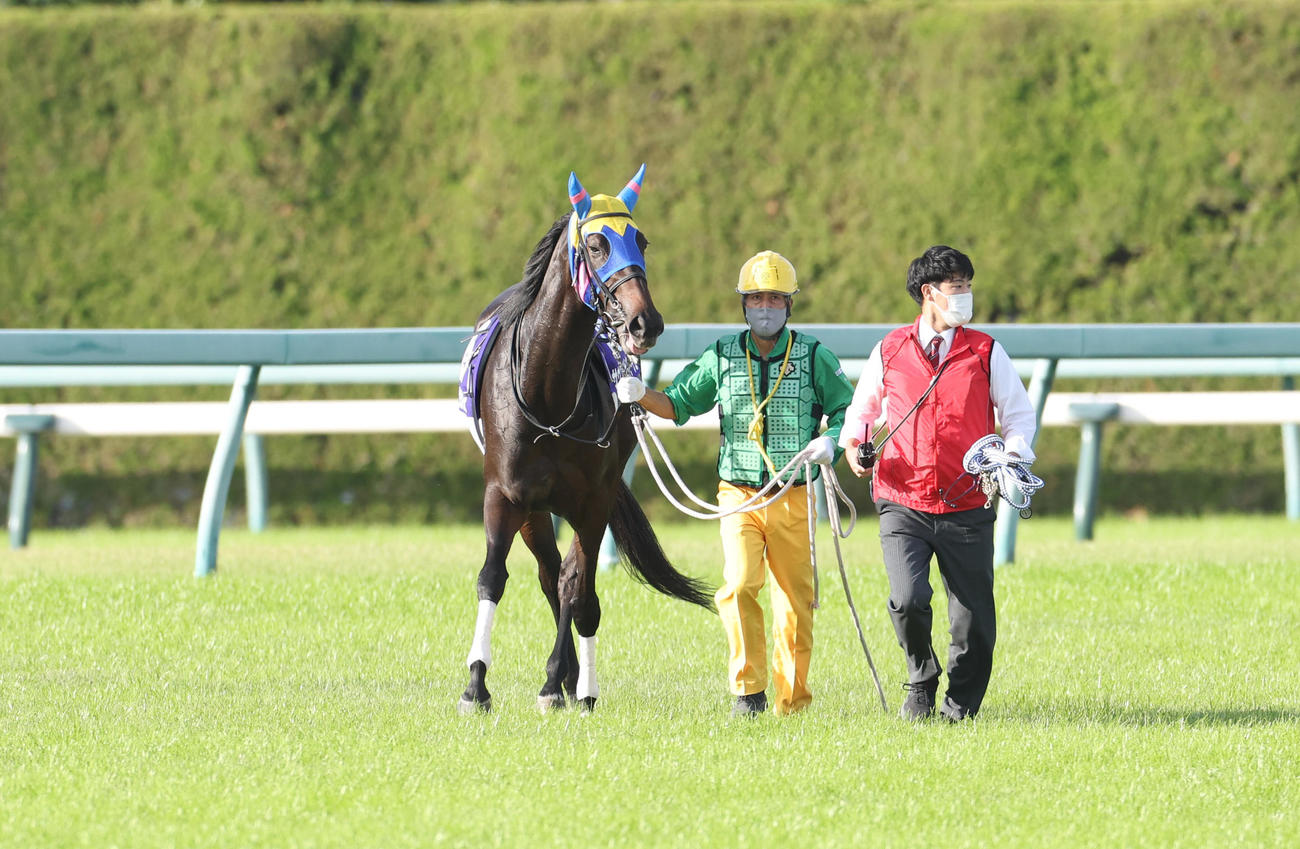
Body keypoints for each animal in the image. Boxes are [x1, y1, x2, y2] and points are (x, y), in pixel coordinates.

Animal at [457, 165, 713, 714]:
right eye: (596, 245)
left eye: (641, 240)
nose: (644, 322)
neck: (548, 394)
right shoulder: (504, 493)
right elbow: (494, 577)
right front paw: (476, 685)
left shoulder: (594, 499)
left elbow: (579, 587)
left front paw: (558, 682)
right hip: (534, 511)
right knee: (548, 573)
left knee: (574, 585)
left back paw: (576, 683)